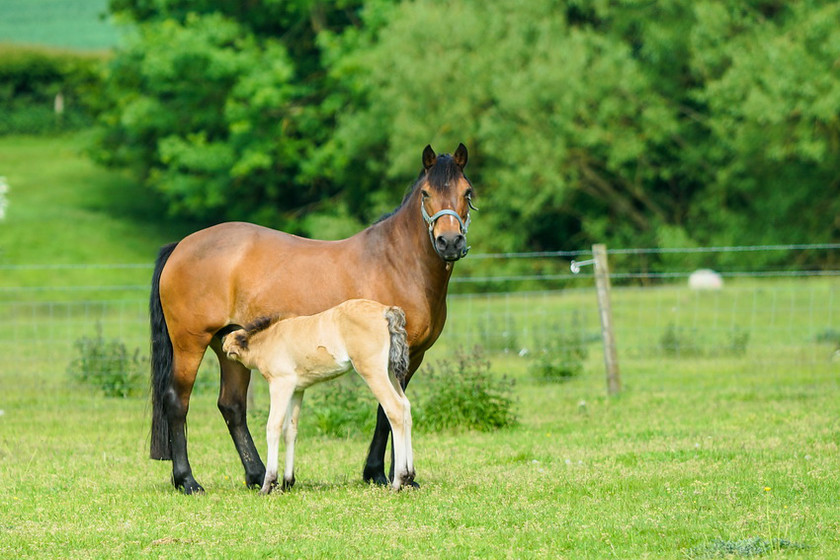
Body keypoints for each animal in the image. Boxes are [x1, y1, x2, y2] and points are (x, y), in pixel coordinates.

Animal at [221, 300, 416, 492]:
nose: (222, 342)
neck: (270, 339)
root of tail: (387, 311)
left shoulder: (280, 384)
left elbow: (273, 427)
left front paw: (268, 484)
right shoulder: (297, 390)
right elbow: (290, 430)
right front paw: (287, 482)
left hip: (372, 371)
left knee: (395, 408)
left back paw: (398, 481)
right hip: (391, 372)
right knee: (405, 407)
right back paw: (408, 476)